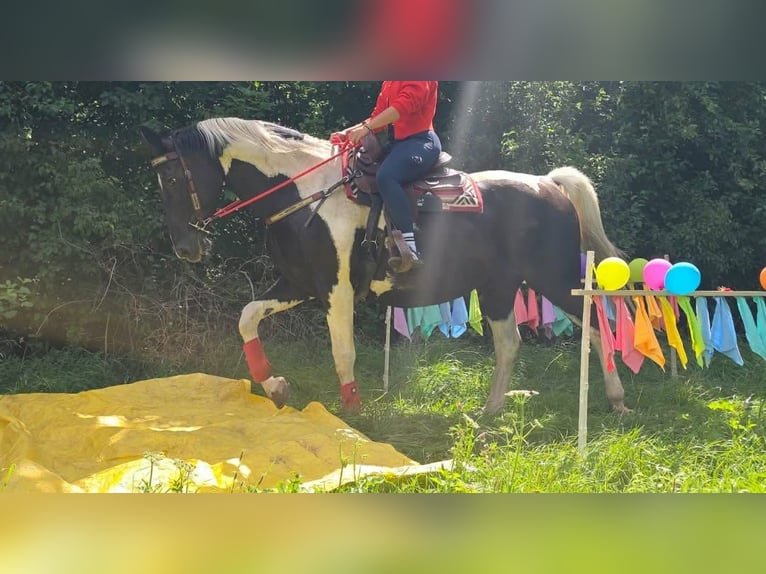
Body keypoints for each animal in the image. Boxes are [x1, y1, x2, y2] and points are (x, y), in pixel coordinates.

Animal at [140, 117, 629, 416]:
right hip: (499, 288)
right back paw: (490, 412)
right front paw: (274, 386)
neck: (305, 196)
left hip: (553, 279)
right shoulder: (298, 283)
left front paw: (352, 410)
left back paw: (617, 400)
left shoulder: (335, 290)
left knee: (596, 326)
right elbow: (247, 317)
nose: (186, 248)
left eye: (171, 178)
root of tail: (549, 184)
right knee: (513, 344)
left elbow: (343, 351)